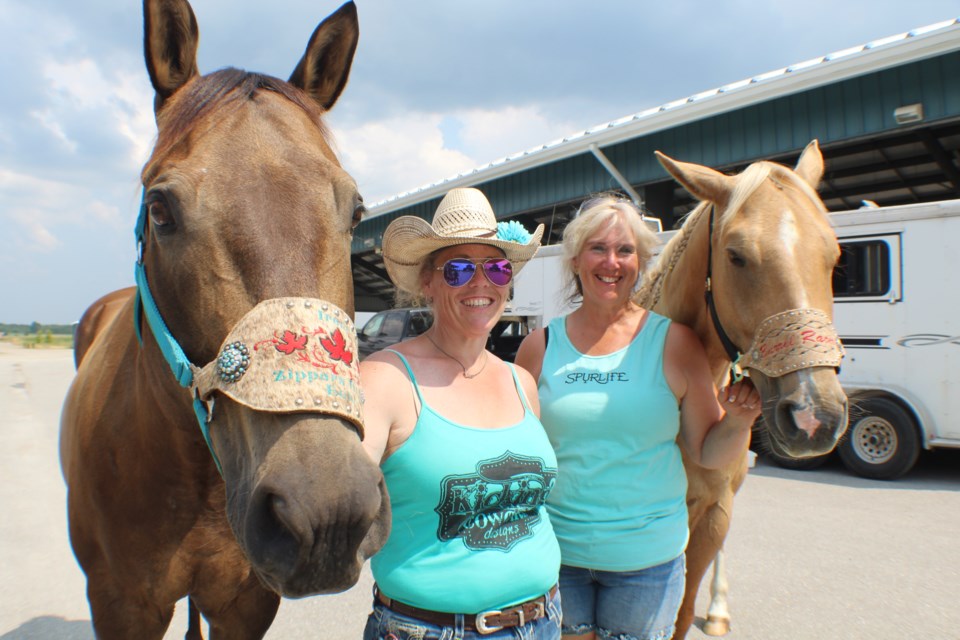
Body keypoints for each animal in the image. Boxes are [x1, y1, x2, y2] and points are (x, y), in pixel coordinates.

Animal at [636, 141, 848, 640]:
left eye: (834, 256)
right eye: (735, 256)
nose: (815, 416)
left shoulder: (714, 512)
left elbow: (680, 611)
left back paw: (718, 609)